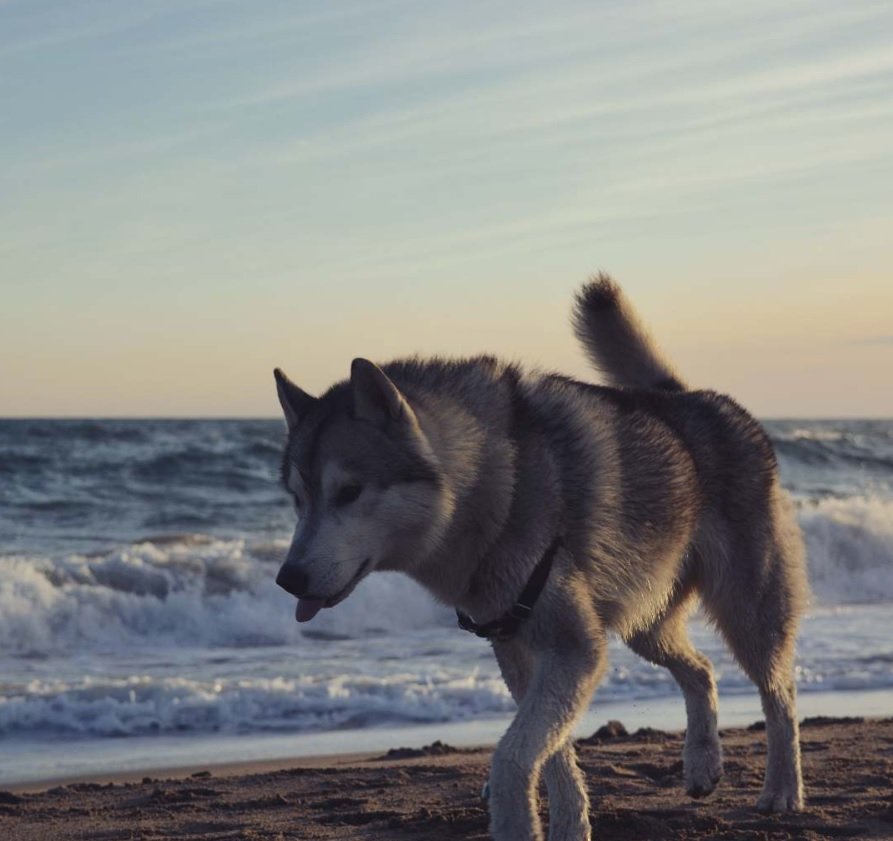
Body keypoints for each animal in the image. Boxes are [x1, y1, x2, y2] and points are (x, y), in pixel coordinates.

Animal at [273, 275, 808, 841]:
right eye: (297, 498)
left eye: (349, 492)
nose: (288, 578)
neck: (495, 490)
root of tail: (688, 396)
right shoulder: (521, 651)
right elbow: (552, 758)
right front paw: (571, 825)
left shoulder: (574, 650)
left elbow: (511, 759)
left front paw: (516, 822)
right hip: (645, 623)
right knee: (702, 670)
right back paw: (703, 764)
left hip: (747, 612)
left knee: (780, 693)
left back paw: (783, 790)